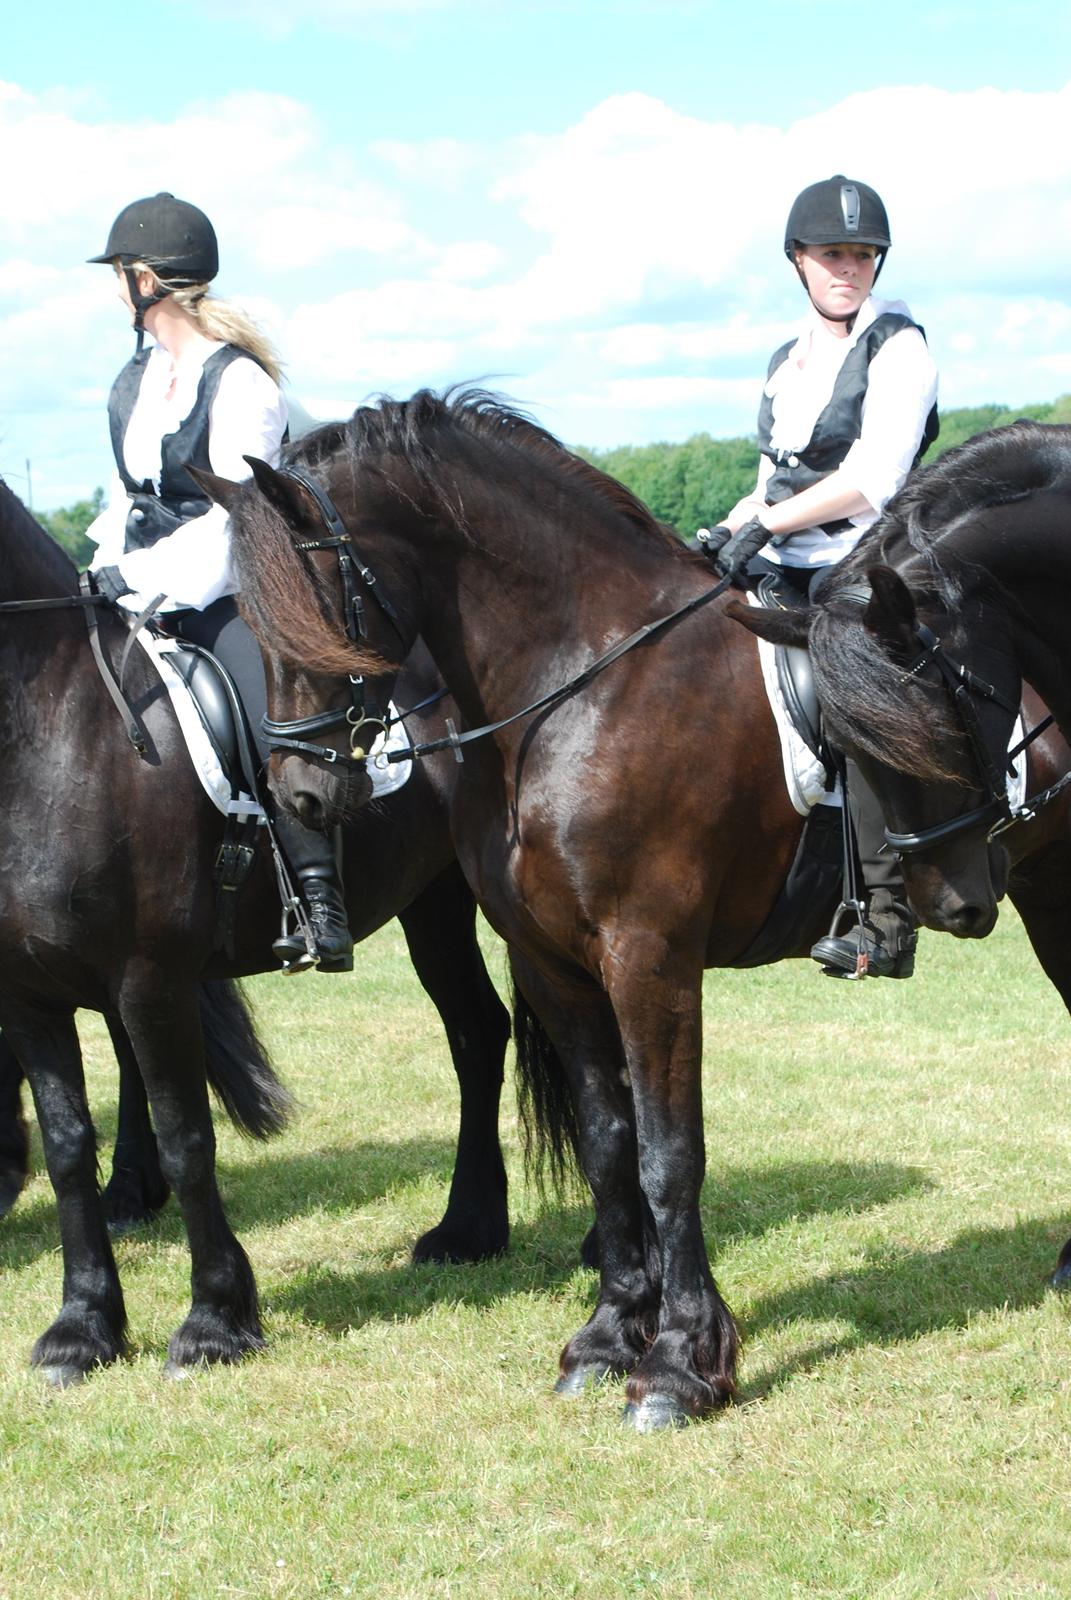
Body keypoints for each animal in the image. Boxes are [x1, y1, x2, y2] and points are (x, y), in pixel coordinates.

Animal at [0, 476, 509, 1388]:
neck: (57, 731)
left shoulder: (150, 981)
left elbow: (186, 1139)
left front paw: (214, 1320)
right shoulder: (28, 995)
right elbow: (66, 1152)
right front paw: (83, 1327)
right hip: (435, 905)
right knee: (478, 1035)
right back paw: (468, 1231)